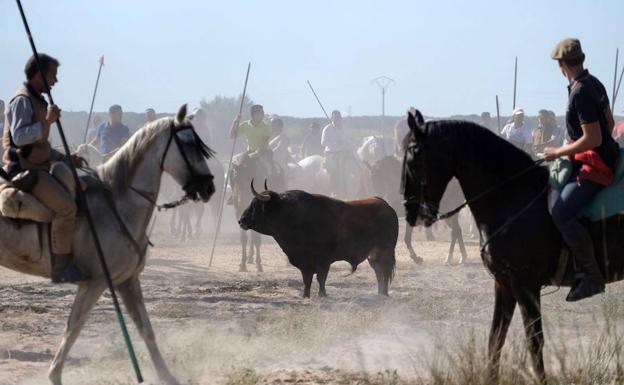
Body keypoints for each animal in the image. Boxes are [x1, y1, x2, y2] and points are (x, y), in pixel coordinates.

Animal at [0, 105, 214, 384]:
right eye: (188, 144)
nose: (209, 187)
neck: (118, 202)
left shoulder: (127, 281)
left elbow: (145, 328)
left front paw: (166, 376)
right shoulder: (95, 283)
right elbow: (73, 328)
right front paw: (54, 375)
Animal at [236, 184, 398, 296]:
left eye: (255, 205)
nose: (241, 220)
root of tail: (386, 206)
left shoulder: (323, 260)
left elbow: (321, 278)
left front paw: (322, 294)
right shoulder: (304, 262)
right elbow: (307, 279)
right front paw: (305, 295)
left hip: (385, 251)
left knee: (384, 271)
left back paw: (384, 293)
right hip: (374, 255)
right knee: (379, 271)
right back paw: (380, 293)